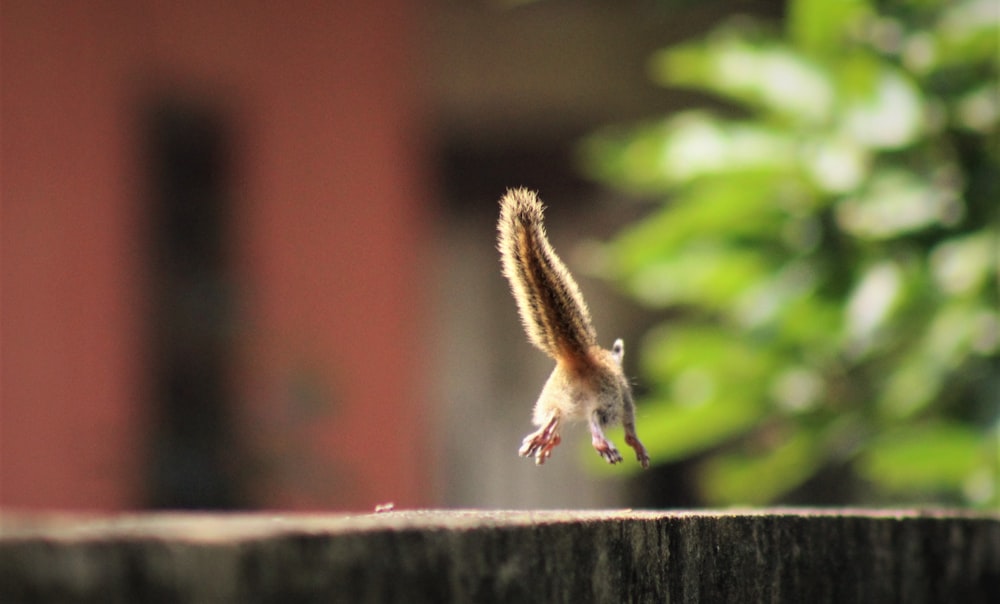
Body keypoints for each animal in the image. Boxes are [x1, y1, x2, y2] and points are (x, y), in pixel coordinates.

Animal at [498, 186, 652, 470]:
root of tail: (578, 357)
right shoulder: (624, 398)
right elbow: (630, 428)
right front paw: (637, 446)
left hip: (552, 398)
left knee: (553, 415)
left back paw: (540, 440)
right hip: (606, 402)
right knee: (595, 420)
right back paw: (602, 445)